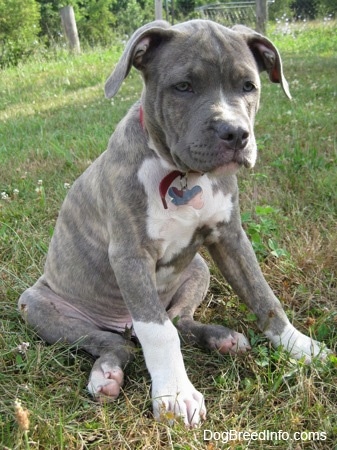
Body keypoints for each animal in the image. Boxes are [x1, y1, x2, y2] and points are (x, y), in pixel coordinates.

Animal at [18, 20, 328, 426]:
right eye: (183, 86)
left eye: (248, 86)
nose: (235, 134)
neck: (183, 174)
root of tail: (122, 323)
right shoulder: (130, 256)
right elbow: (159, 332)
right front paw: (177, 393)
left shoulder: (230, 237)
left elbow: (263, 296)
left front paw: (301, 348)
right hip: (38, 304)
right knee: (115, 341)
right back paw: (107, 373)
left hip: (198, 268)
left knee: (180, 319)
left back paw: (221, 338)